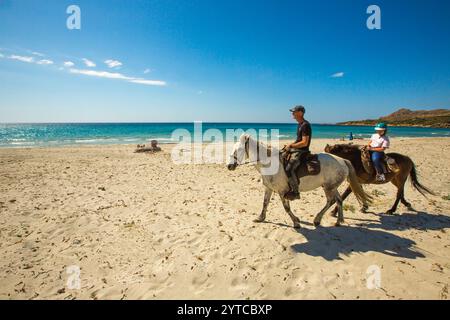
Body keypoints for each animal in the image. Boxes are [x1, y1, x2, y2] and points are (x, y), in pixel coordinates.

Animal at [227, 134, 370, 229]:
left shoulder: (282, 191)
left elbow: (286, 208)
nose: (229, 166)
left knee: (331, 201)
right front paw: (260, 218)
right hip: (331, 187)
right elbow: (265, 203)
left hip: (328, 187)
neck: (269, 163)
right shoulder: (269, 188)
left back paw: (317, 220)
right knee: (339, 200)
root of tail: (343, 161)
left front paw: (296, 222)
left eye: (238, 150)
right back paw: (338, 221)